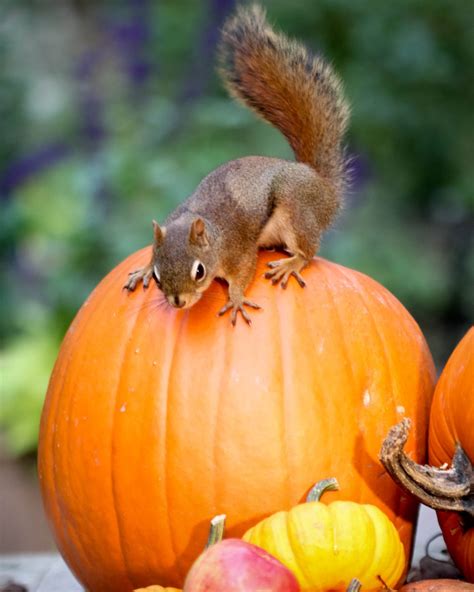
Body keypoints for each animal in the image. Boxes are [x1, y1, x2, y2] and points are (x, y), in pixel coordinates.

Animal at [125, 3, 348, 324]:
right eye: (157, 274)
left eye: (199, 271)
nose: (178, 302)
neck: (211, 231)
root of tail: (323, 185)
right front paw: (140, 270)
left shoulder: (238, 250)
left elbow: (244, 272)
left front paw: (236, 299)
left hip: (297, 207)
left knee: (309, 249)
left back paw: (291, 263)